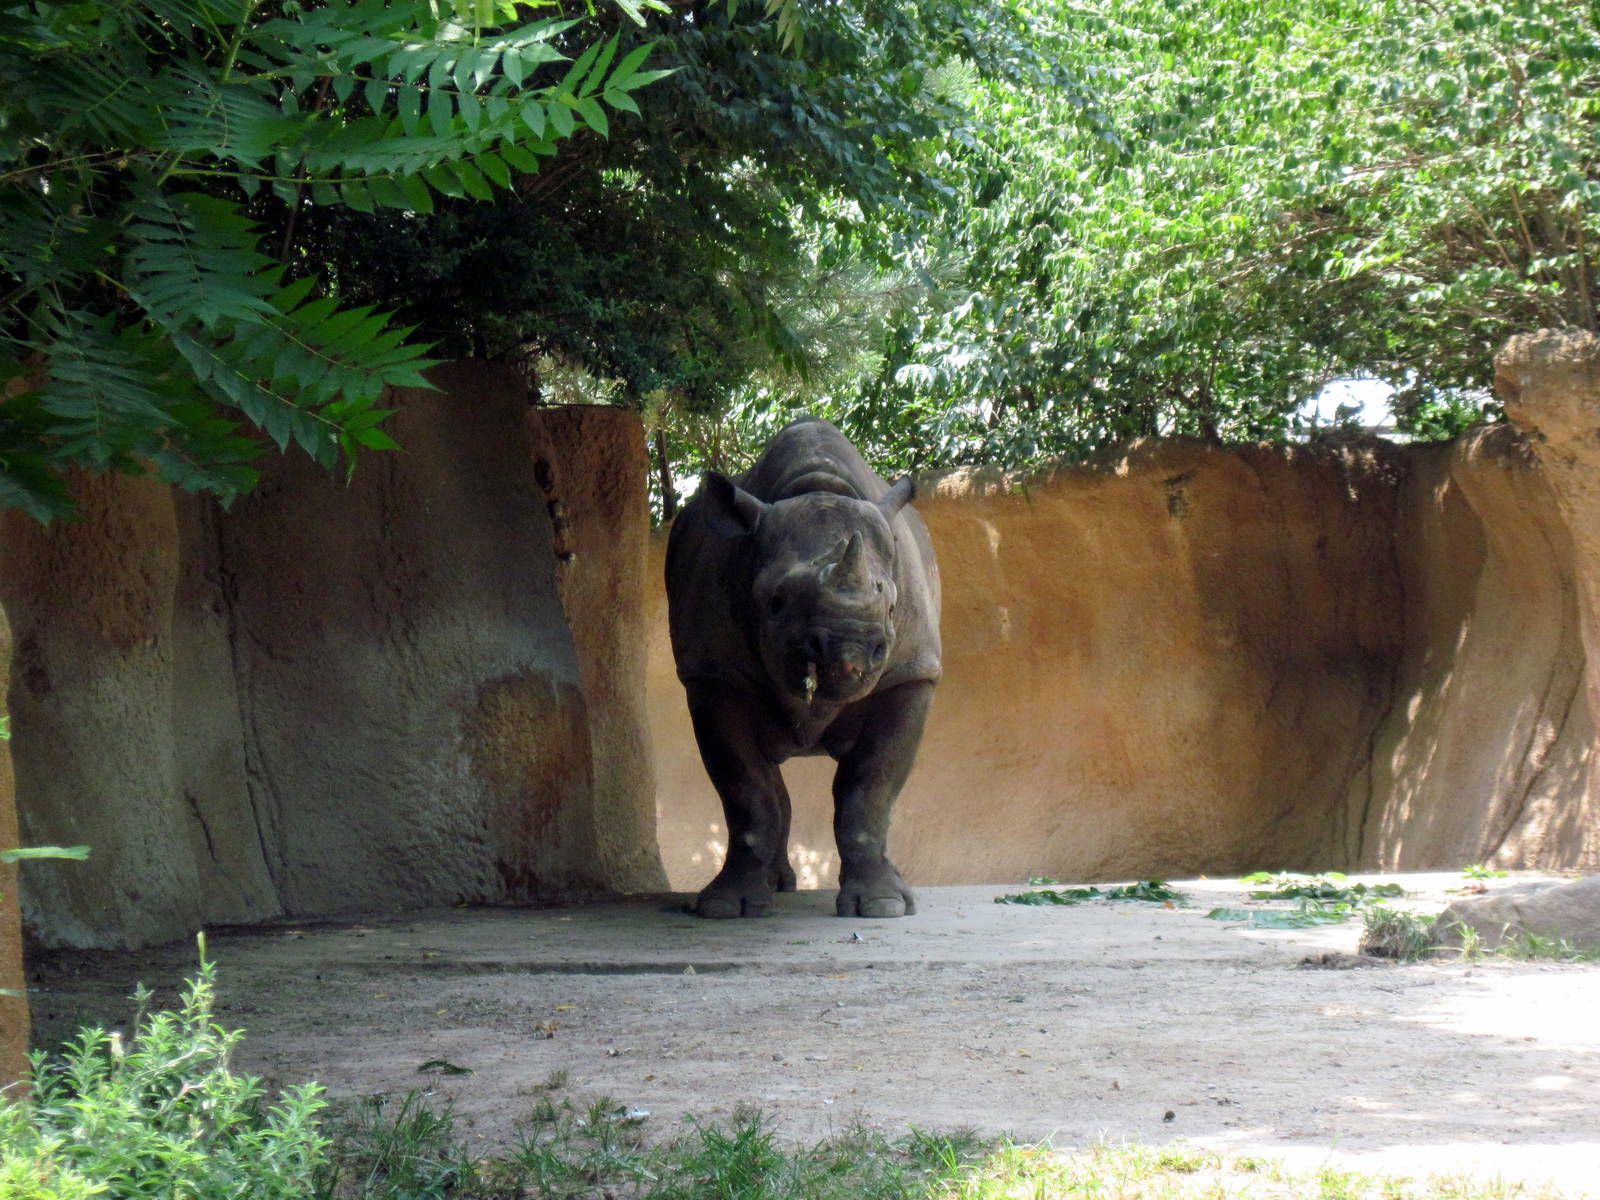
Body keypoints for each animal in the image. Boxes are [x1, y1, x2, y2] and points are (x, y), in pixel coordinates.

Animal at [666, 417, 941, 919]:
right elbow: (745, 792)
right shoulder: (715, 675)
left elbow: (870, 789)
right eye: (775, 603)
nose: (848, 653)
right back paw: (775, 887)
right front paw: (726, 907)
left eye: (893, 609)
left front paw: (881, 906)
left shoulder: (911, 674)